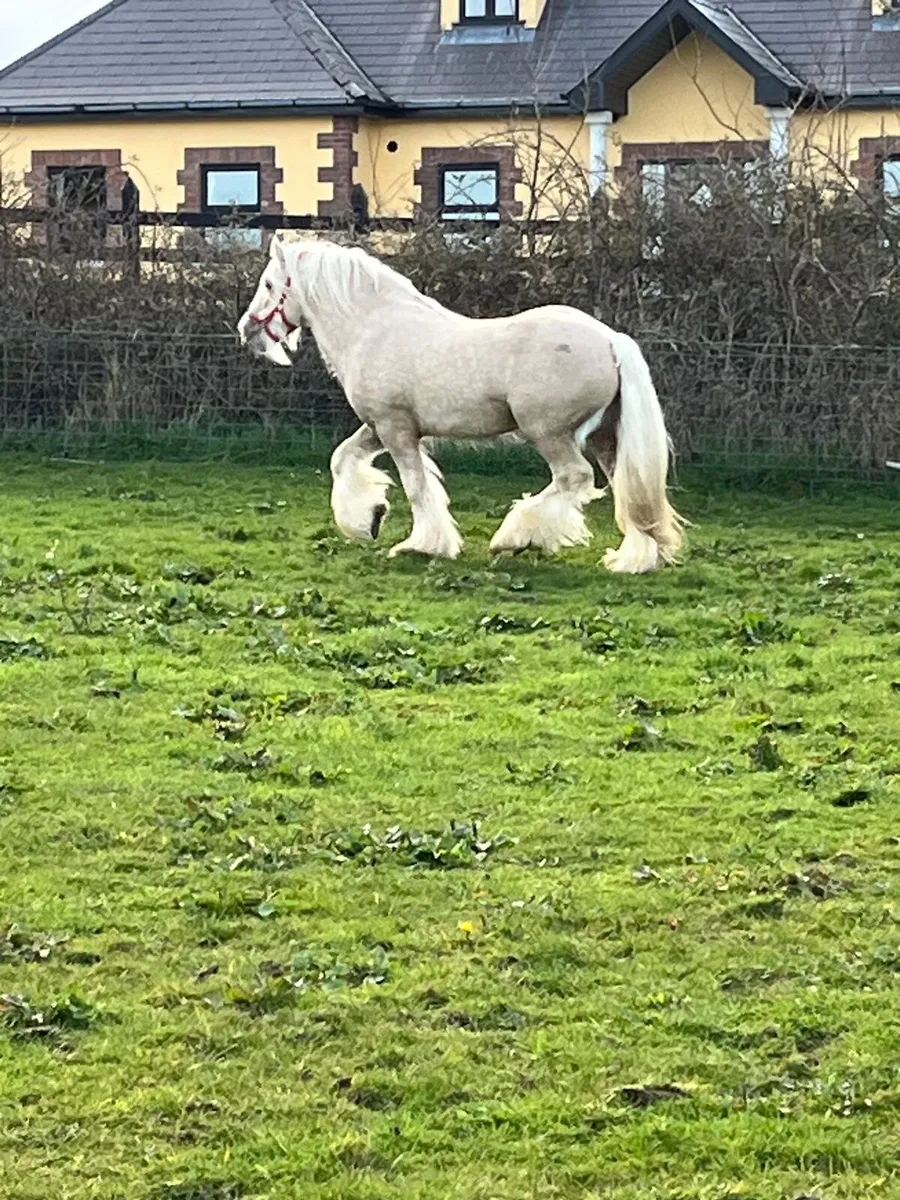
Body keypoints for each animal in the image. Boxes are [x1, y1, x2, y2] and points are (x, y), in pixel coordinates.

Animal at [237, 236, 683, 573]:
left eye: (269, 285)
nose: (246, 330)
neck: (373, 327)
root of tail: (610, 340)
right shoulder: (379, 426)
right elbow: (342, 459)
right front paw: (369, 520)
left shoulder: (395, 428)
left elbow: (416, 487)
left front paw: (420, 545)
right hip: (607, 436)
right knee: (628, 491)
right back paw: (635, 559)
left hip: (548, 432)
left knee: (574, 478)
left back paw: (514, 538)